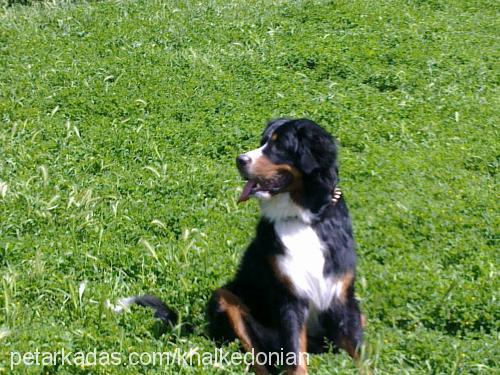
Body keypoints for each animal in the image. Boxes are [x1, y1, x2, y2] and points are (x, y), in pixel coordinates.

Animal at [112, 119, 364, 374]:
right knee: (258, 360)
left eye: (279, 145)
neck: (303, 220)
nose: (239, 159)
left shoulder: (342, 298)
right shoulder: (289, 298)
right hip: (226, 300)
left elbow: (359, 355)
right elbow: (295, 359)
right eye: (262, 141)